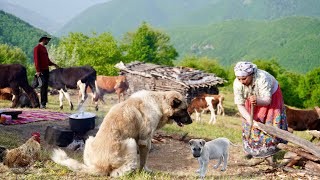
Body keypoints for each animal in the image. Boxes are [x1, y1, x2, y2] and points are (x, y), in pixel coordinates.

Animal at [52, 90, 192, 176]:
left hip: (90, 139)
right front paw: (144, 171)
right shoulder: (144, 141)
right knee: (116, 173)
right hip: (130, 143)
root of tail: (99, 167)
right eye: (184, 109)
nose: (191, 121)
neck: (159, 102)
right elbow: (144, 161)